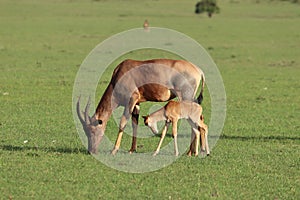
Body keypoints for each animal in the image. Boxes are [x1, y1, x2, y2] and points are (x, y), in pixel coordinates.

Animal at [76, 58, 205, 154]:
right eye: (85, 131)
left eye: (92, 131)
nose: (91, 151)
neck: (120, 73)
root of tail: (198, 70)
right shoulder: (136, 103)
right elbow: (134, 123)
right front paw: (132, 149)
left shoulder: (131, 99)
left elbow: (123, 122)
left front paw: (114, 150)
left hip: (185, 97)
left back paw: (190, 152)